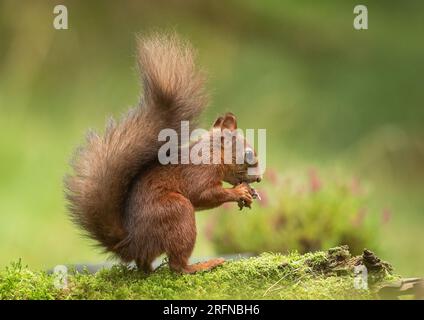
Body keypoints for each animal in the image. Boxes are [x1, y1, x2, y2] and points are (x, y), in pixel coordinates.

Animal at [64, 33, 260, 272]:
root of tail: (132, 243)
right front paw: (239, 192)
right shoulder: (200, 171)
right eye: (248, 155)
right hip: (177, 212)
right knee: (177, 265)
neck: (212, 153)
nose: (259, 179)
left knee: (145, 264)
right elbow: (203, 194)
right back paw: (201, 266)